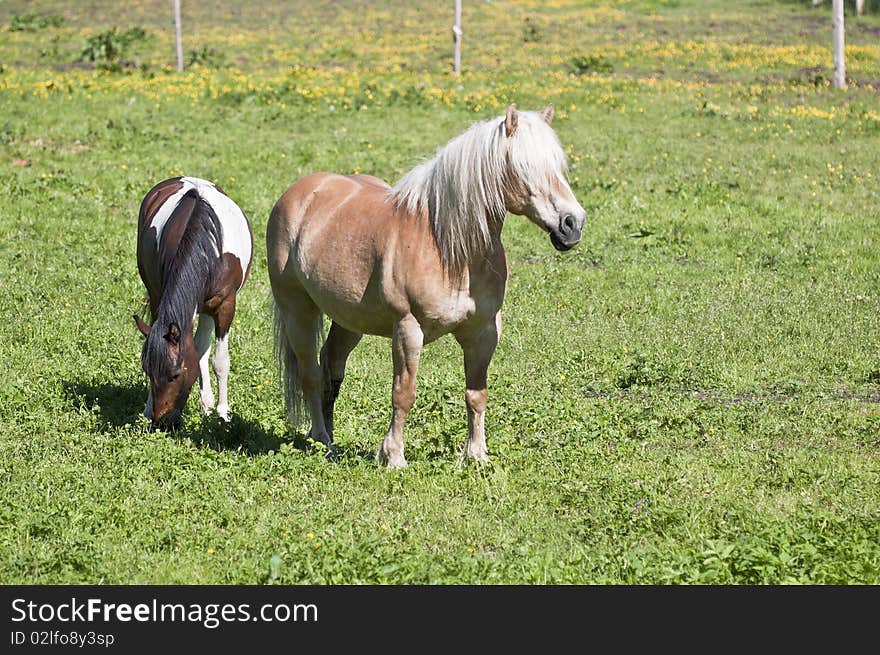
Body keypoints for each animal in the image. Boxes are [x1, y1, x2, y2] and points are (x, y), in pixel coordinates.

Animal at [134, 177, 253, 430]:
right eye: (147, 371)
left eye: (175, 374)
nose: (160, 419)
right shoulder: (160, 296)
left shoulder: (225, 305)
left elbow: (220, 361)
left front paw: (222, 414)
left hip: (208, 307)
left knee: (201, 347)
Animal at [268, 104, 584, 466]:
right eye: (523, 167)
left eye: (558, 166)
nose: (572, 224)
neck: (450, 249)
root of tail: (300, 191)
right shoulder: (408, 329)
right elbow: (403, 393)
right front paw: (393, 457)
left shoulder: (484, 332)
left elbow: (476, 394)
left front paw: (477, 456)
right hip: (298, 311)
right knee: (310, 372)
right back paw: (321, 439)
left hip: (348, 320)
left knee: (330, 368)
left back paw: (330, 439)